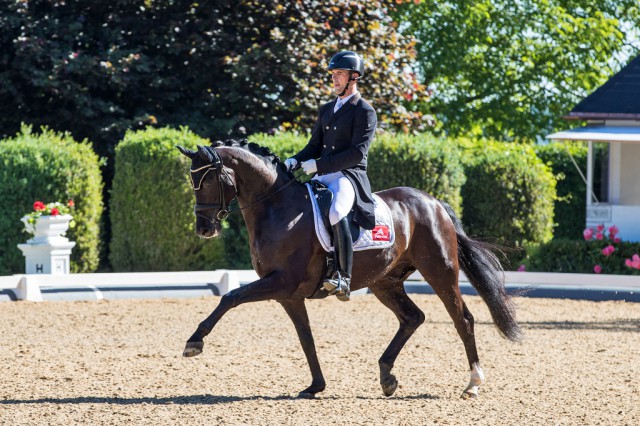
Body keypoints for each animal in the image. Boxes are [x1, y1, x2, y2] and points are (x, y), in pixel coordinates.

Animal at [175, 140, 520, 400]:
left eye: (207, 181)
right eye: (193, 182)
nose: (204, 229)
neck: (277, 208)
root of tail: (435, 203)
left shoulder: (282, 282)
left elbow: (229, 297)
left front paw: (194, 342)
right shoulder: (289, 295)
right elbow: (306, 338)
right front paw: (316, 386)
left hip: (440, 271)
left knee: (463, 319)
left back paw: (473, 383)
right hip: (385, 282)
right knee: (413, 317)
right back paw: (387, 377)